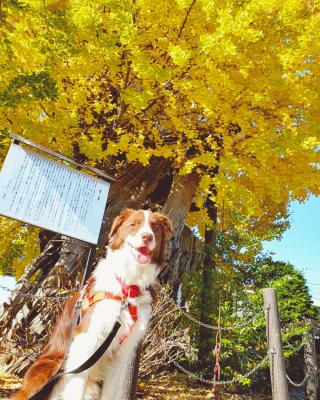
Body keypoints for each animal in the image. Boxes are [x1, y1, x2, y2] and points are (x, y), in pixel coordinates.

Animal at [11, 209, 174, 400]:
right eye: (134, 224)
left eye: (155, 228)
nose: (147, 237)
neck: (128, 287)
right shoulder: (87, 340)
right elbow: (76, 389)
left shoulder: (121, 355)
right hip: (49, 367)